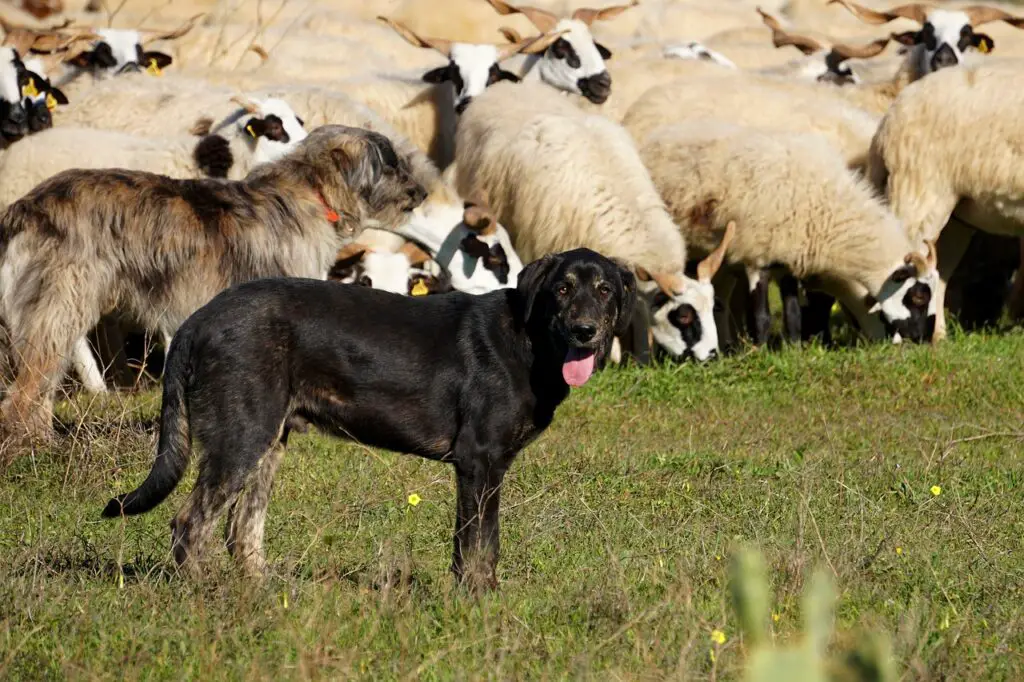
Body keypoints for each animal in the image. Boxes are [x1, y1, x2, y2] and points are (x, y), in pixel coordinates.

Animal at [103, 246, 630, 585]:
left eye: (605, 290)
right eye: (563, 288)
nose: (585, 331)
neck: (530, 339)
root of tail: (199, 319)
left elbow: (480, 545)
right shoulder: (479, 462)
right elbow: (478, 546)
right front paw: (477, 604)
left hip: (267, 443)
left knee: (242, 531)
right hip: (241, 439)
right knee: (189, 525)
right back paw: (205, 596)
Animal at [638, 119, 942, 346]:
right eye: (918, 296)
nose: (920, 338)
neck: (827, 211)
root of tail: (658, 135)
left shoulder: (788, 260)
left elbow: (794, 316)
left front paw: (794, 350)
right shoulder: (756, 258)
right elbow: (761, 317)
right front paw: (760, 352)